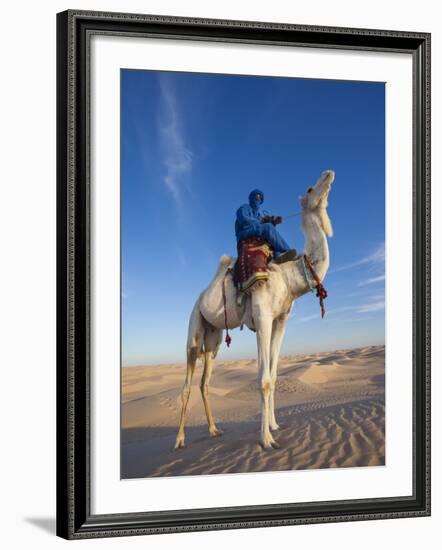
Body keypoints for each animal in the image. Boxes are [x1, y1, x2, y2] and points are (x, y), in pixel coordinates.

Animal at [174, 170, 334, 450]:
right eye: (310, 188)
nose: (329, 173)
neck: (289, 277)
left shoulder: (279, 321)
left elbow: (274, 376)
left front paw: (274, 425)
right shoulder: (263, 318)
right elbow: (264, 380)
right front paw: (267, 439)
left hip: (214, 337)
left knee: (205, 382)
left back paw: (214, 430)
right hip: (194, 326)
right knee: (187, 382)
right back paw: (180, 439)